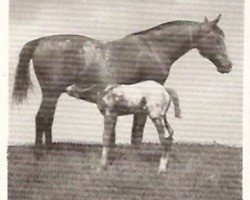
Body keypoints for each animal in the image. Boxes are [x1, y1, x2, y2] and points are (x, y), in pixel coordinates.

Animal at [12, 15, 232, 150]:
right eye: (215, 38)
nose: (228, 66)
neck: (154, 48)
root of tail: (40, 41)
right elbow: (140, 124)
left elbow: (136, 124)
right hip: (51, 92)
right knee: (42, 118)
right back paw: (41, 152)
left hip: (54, 93)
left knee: (47, 119)